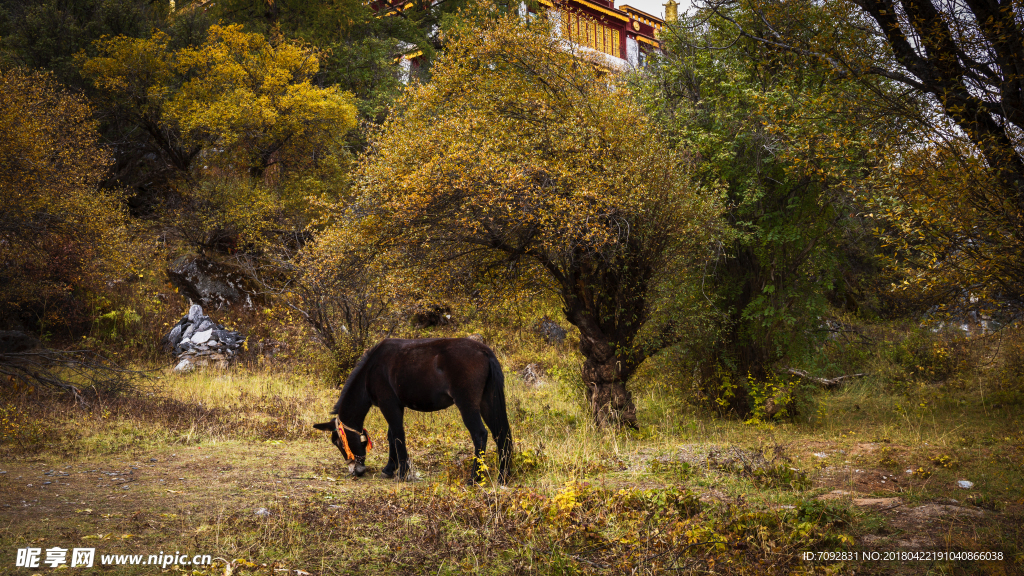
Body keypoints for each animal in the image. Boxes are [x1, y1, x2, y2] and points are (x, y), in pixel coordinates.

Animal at [311, 338, 516, 481]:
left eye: (338, 442)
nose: (356, 471)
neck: (371, 371)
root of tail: (484, 351)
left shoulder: (388, 405)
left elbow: (398, 436)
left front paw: (402, 472)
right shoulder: (395, 406)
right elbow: (391, 436)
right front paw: (389, 469)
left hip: (467, 405)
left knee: (480, 435)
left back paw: (475, 478)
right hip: (488, 402)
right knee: (501, 434)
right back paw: (503, 476)